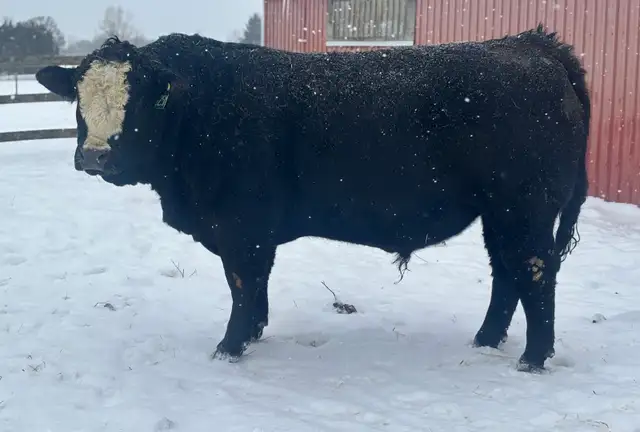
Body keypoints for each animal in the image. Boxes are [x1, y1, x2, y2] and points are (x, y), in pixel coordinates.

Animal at [35, 24, 590, 372]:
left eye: (140, 100)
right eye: (79, 99)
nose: (96, 155)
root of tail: (531, 44)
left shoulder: (242, 229)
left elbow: (242, 286)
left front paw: (229, 348)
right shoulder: (251, 234)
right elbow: (254, 289)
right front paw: (253, 335)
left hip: (524, 208)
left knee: (535, 274)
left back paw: (532, 359)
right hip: (499, 213)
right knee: (507, 273)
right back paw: (486, 340)